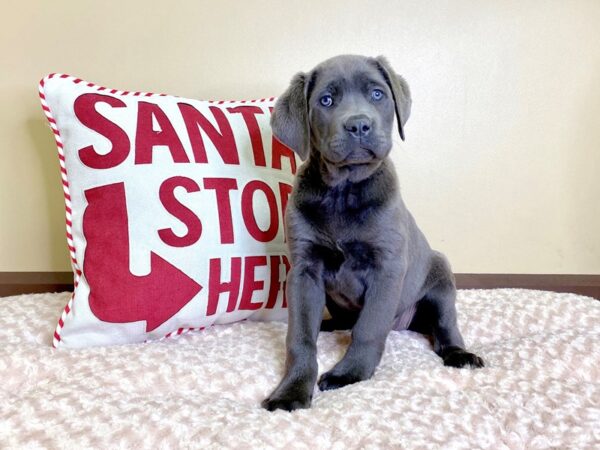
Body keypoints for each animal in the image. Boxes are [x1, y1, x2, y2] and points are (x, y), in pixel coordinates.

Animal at [262, 53, 482, 412]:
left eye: (377, 94)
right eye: (326, 100)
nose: (359, 125)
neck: (343, 192)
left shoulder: (387, 267)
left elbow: (368, 328)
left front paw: (349, 374)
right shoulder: (305, 271)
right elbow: (300, 337)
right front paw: (291, 391)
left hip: (440, 278)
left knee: (445, 328)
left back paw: (461, 354)